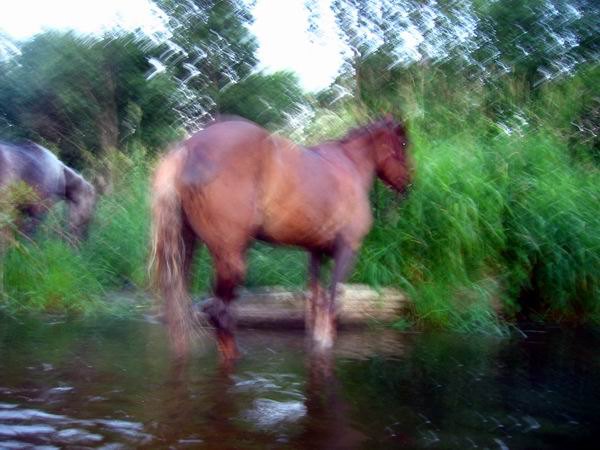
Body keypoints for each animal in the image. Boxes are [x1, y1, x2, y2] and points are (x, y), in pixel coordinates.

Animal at [150, 115, 412, 358]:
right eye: (403, 142)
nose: (408, 185)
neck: (349, 166)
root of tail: (188, 146)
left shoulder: (316, 252)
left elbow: (315, 303)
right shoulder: (347, 249)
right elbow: (332, 302)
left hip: (185, 250)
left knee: (180, 314)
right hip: (230, 258)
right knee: (220, 314)